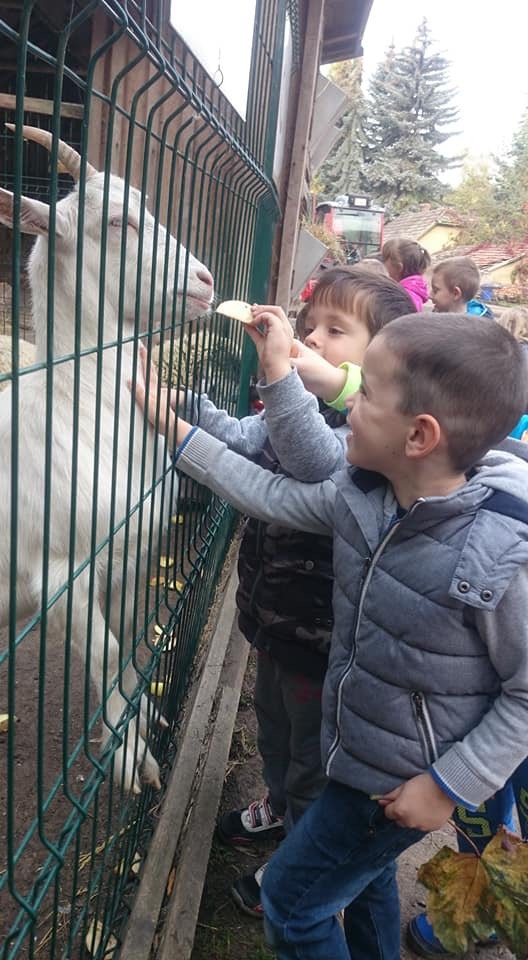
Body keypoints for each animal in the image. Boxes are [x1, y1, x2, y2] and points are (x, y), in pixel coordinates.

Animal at [0, 125, 214, 793]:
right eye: (119, 222)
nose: (205, 280)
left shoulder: (130, 555)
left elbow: (123, 644)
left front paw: (142, 717)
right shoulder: (57, 577)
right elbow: (107, 651)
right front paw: (129, 757)